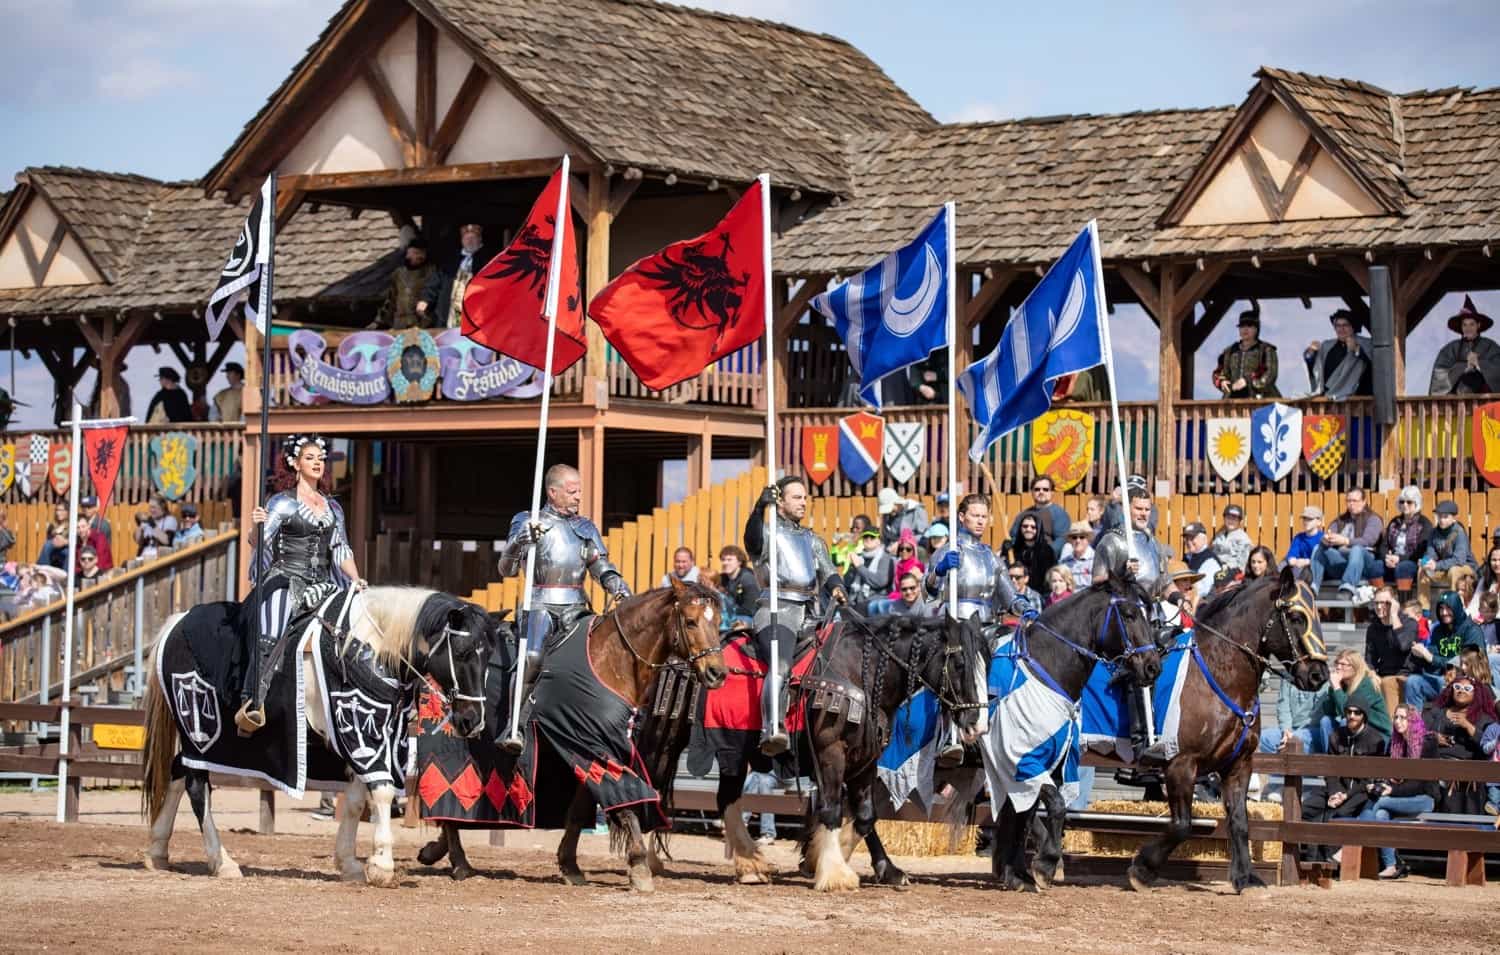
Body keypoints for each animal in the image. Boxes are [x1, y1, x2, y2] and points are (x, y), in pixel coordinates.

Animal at [420, 572, 729, 893]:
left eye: (719, 621)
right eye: (691, 621)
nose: (717, 673)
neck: (611, 659)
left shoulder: (590, 748)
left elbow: (580, 809)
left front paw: (570, 864)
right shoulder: (593, 745)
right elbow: (624, 798)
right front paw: (639, 866)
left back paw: (437, 850)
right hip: (449, 744)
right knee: (445, 796)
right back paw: (459, 862)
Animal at [984, 572, 1158, 893]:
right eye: (1129, 614)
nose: (1153, 667)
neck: (1044, 667)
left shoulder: (1042, 763)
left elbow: (1026, 816)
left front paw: (1017, 873)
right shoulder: (1021, 760)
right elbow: (1055, 804)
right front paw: (1045, 864)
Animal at [1128, 569, 1332, 899]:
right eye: (1296, 616)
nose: (1318, 676)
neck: (1219, 671)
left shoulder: (1238, 765)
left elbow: (1239, 821)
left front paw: (1245, 877)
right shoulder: (1181, 765)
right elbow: (1182, 824)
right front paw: (1142, 870)